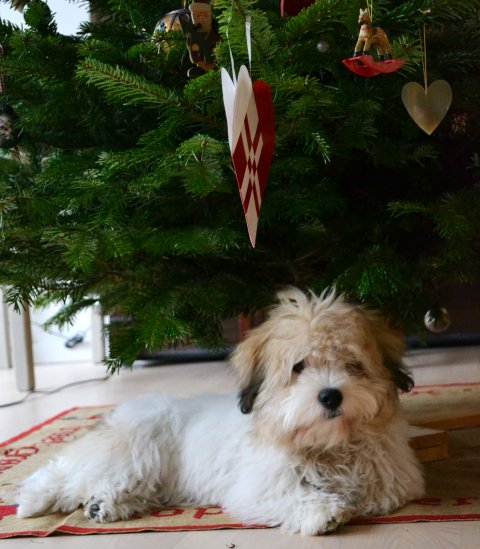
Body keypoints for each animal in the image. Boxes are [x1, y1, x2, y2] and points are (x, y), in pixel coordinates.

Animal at [16, 288, 424, 535]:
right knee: (67, 473)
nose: (330, 396)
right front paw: (323, 511)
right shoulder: (259, 483)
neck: (327, 445)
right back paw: (33, 498)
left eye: (351, 364)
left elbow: (376, 494)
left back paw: (104, 506)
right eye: (299, 367)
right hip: (136, 451)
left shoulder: (390, 481)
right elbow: (291, 492)